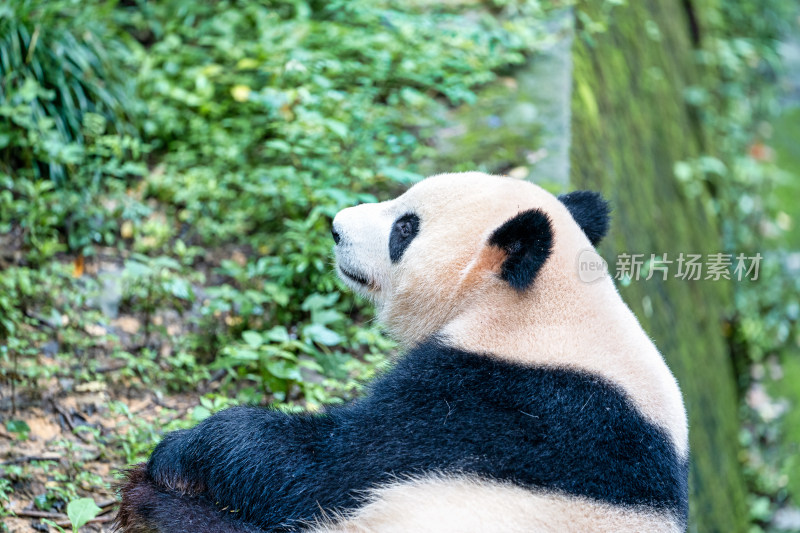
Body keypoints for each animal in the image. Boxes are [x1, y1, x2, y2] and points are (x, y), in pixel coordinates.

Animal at [117, 171, 688, 532]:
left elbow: (328, 468)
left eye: (404, 228)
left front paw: (179, 451)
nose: (336, 226)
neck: (545, 307)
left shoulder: (491, 404)